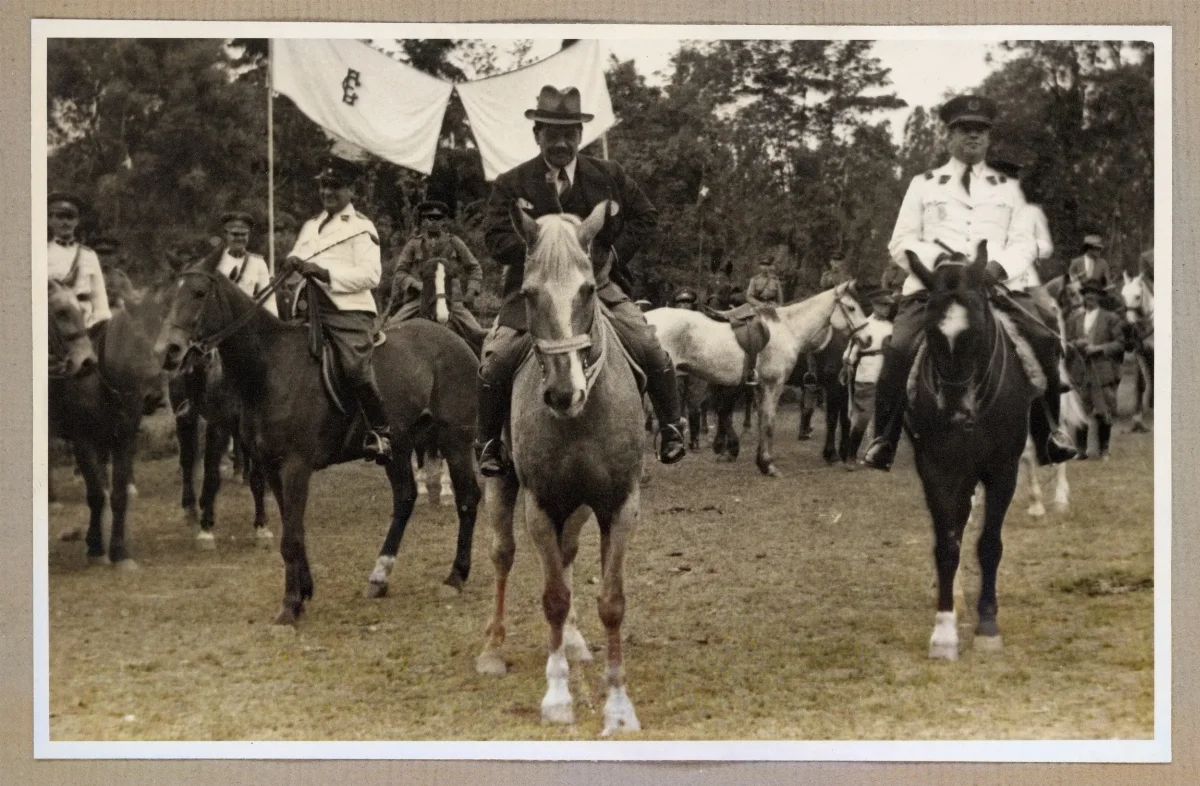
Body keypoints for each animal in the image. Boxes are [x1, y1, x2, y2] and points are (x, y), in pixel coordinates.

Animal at [48, 283, 163, 569]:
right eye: (132, 342)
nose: (153, 396)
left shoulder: (123, 438)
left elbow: (118, 493)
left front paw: (119, 552)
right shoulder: (82, 442)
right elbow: (96, 494)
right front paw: (96, 547)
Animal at [156, 267, 482, 621]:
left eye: (199, 293)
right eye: (172, 294)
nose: (168, 350)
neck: (270, 367)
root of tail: (457, 342)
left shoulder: (295, 466)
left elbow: (291, 536)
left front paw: (289, 607)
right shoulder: (272, 467)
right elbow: (293, 529)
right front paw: (303, 592)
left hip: (455, 439)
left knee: (467, 499)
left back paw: (455, 576)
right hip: (400, 445)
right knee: (405, 498)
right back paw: (380, 576)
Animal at [474, 202, 644, 736]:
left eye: (589, 290)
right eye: (529, 294)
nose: (564, 393)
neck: (581, 418)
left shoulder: (618, 506)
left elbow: (611, 602)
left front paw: (618, 705)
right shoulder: (542, 506)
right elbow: (552, 596)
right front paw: (557, 697)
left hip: (580, 507)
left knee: (567, 557)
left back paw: (572, 641)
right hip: (502, 485)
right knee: (503, 555)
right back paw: (494, 648)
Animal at [646, 282, 866, 476]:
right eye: (852, 307)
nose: (868, 338)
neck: (789, 328)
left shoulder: (759, 386)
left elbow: (760, 420)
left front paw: (760, 461)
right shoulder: (774, 384)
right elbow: (769, 422)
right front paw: (767, 464)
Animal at [902, 244, 1044, 660]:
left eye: (978, 330)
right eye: (931, 332)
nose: (957, 414)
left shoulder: (1003, 468)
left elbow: (990, 544)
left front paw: (988, 626)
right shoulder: (936, 468)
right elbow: (947, 545)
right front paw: (944, 632)